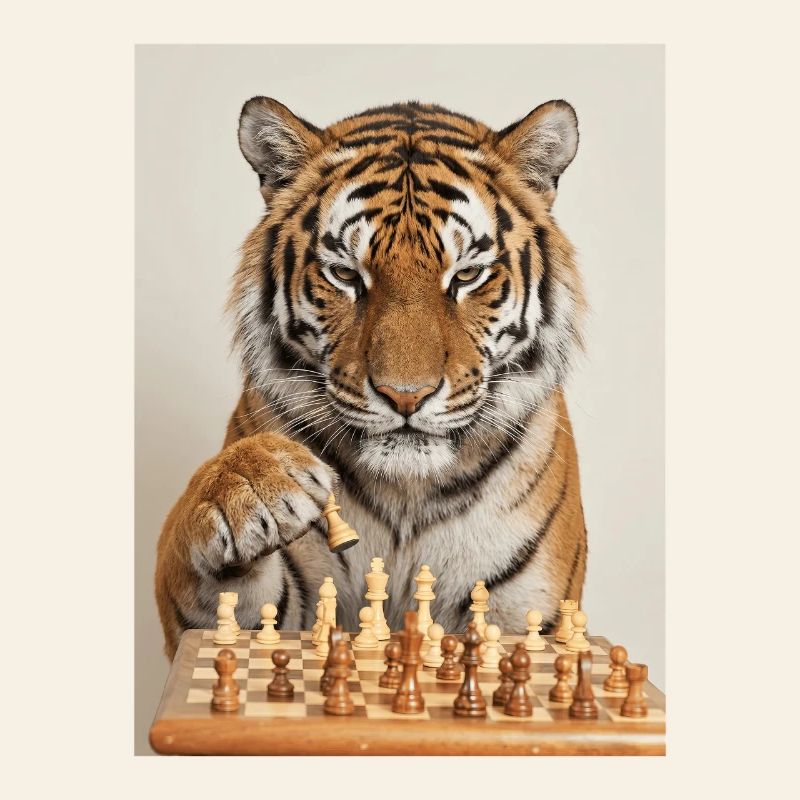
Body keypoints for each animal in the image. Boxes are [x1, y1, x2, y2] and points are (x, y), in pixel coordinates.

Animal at [155, 97, 588, 660]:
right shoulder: (247, 619)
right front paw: (249, 483)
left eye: (467, 275)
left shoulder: (530, 616)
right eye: (345, 274)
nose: (406, 397)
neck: (407, 499)